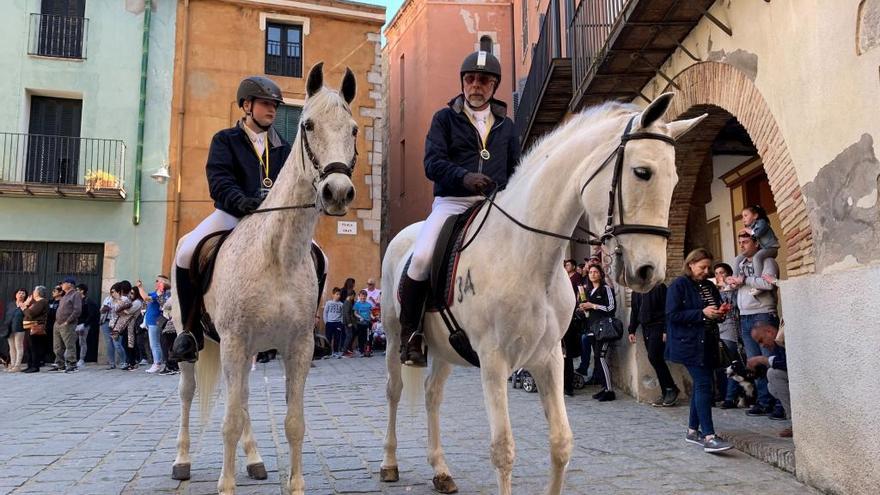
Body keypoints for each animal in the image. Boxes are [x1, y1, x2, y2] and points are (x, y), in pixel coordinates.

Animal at [172, 63, 360, 495]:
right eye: (308, 125)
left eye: (354, 129)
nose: (337, 192)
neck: (277, 256)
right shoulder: (235, 342)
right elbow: (227, 422)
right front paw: (225, 486)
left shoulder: (298, 347)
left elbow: (293, 423)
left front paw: (295, 485)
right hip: (200, 345)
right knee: (189, 393)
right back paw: (182, 460)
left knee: (240, 398)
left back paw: (255, 460)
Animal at [380, 94, 708, 495]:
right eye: (642, 172)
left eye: (676, 178)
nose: (649, 272)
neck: (527, 255)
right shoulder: (493, 362)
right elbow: (503, 450)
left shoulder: (550, 357)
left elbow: (561, 443)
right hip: (394, 336)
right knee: (394, 391)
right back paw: (389, 463)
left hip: (443, 350)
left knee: (432, 394)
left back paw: (440, 470)